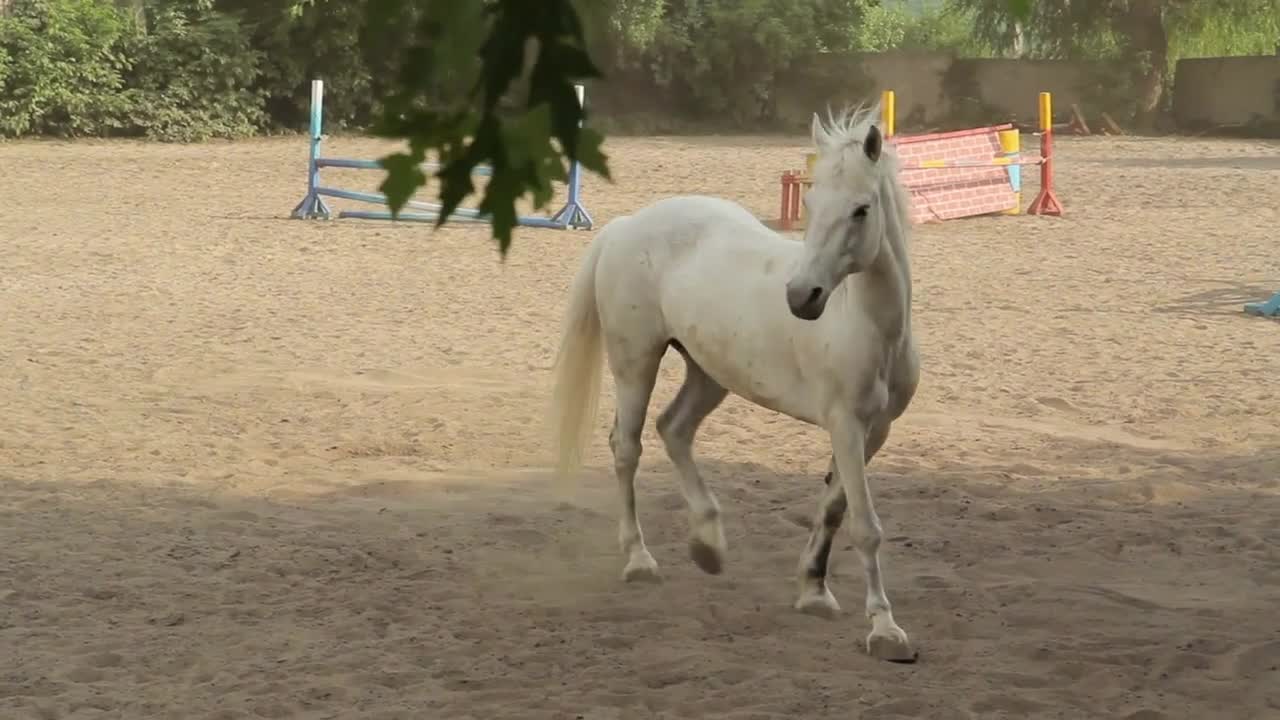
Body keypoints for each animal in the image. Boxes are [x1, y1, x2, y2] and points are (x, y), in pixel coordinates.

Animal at [545, 103, 916, 661]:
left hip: (708, 373)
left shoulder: (874, 432)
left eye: (860, 210)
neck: (865, 323)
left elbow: (832, 509)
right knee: (627, 447)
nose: (801, 296)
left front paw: (814, 591)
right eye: (811, 202)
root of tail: (627, 225)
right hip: (636, 362)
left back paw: (708, 545)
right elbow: (865, 526)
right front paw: (885, 630)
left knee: (674, 430)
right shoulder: (846, 426)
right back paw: (640, 560)